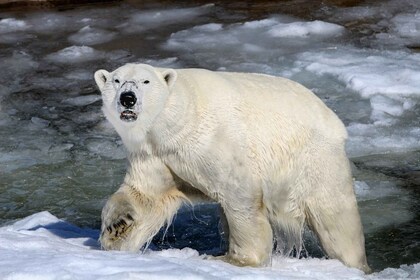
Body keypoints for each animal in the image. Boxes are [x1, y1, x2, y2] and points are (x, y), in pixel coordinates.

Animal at [95, 63, 370, 274]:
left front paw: (238, 260)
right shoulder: (155, 154)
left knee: (336, 220)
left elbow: (239, 194)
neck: (173, 122)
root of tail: (335, 122)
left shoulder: (213, 140)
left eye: (146, 81)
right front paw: (116, 226)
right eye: (117, 80)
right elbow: (146, 195)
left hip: (313, 161)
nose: (127, 98)